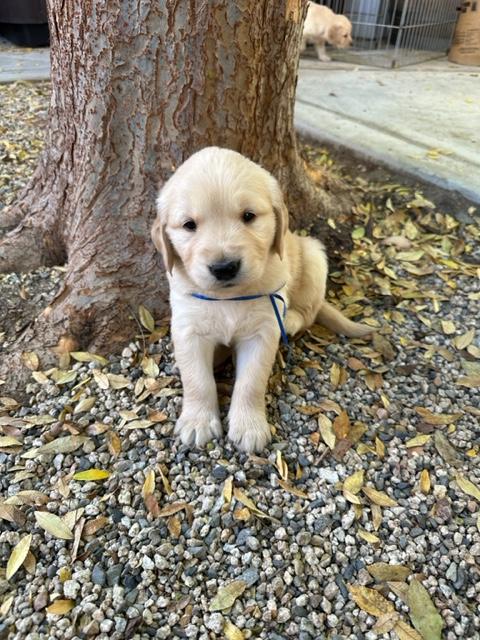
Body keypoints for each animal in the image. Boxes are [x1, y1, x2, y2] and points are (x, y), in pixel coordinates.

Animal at [151, 147, 371, 453]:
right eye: (189, 225)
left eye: (248, 216)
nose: (224, 267)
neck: (228, 297)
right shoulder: (188, 328)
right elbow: (197, 380)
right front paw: (198, 421)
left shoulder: (262, 331)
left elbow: (251, 382)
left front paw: (249, 427)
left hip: (313, 255)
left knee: (309, 310)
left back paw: (291, 320)